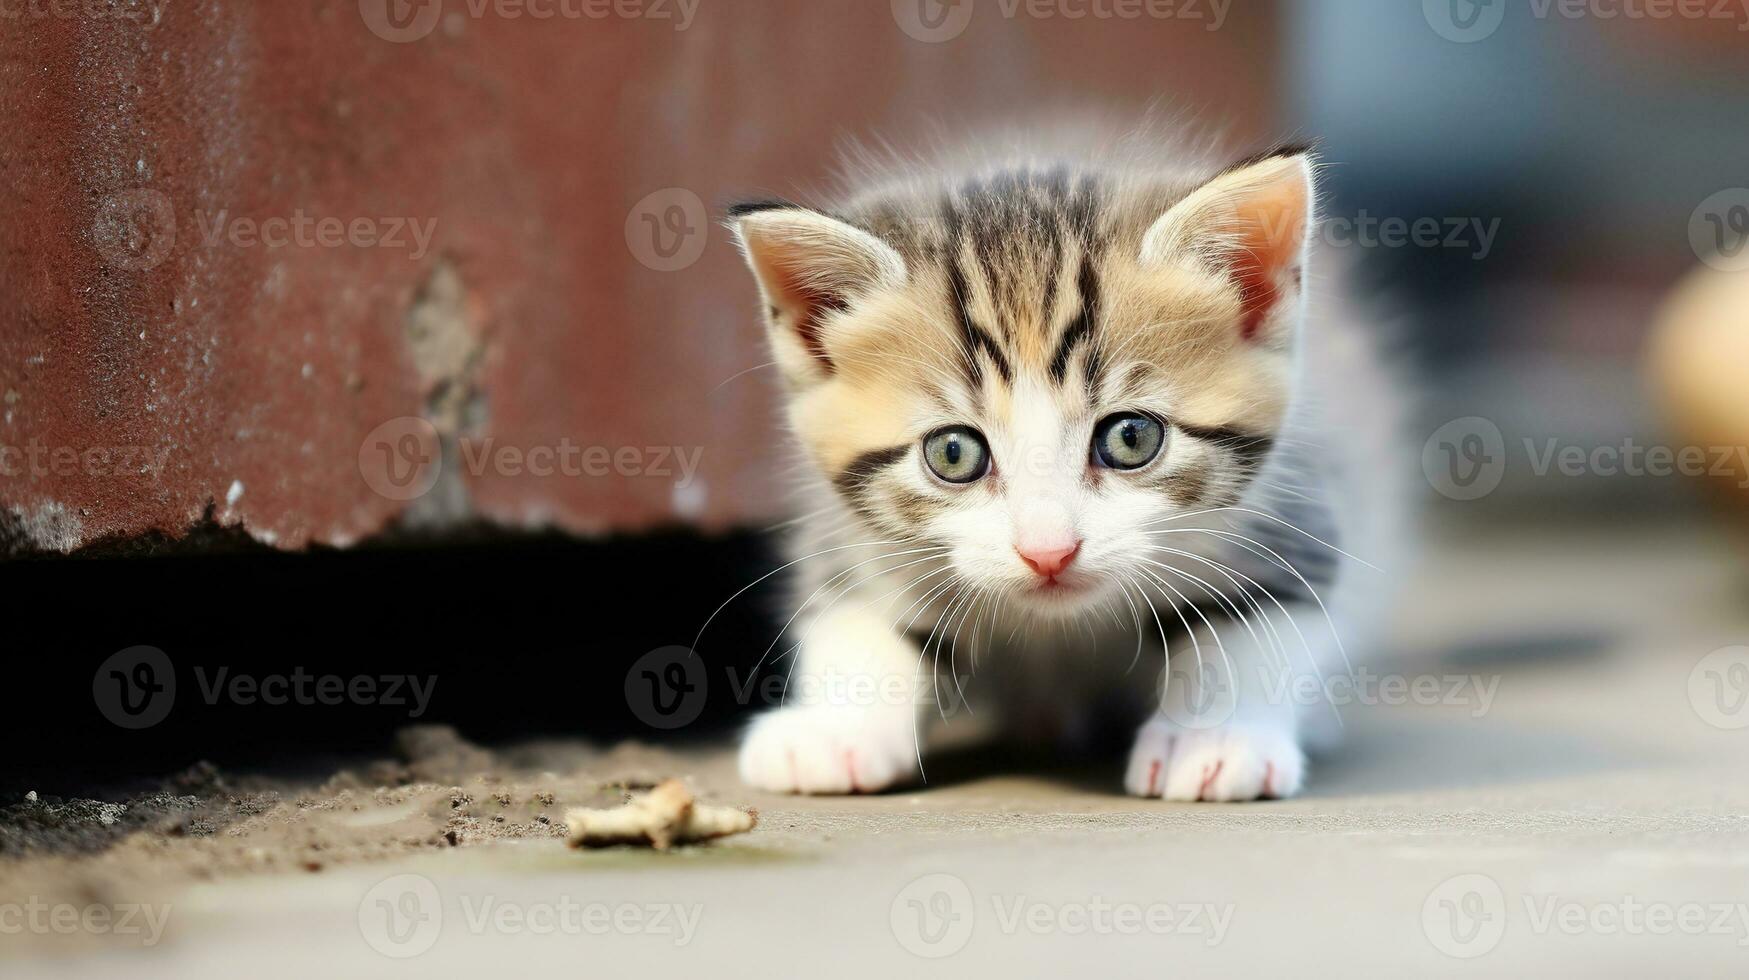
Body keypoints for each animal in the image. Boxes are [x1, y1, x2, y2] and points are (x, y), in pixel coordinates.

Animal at [720, 126, 1406, 801]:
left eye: (1131, 439)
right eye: (953, 452)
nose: (1048, 552)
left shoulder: (1296, 504)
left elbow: (1258, 624)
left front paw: (1215, 738)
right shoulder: (848, 532)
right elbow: (855, 614)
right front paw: (834, 730)